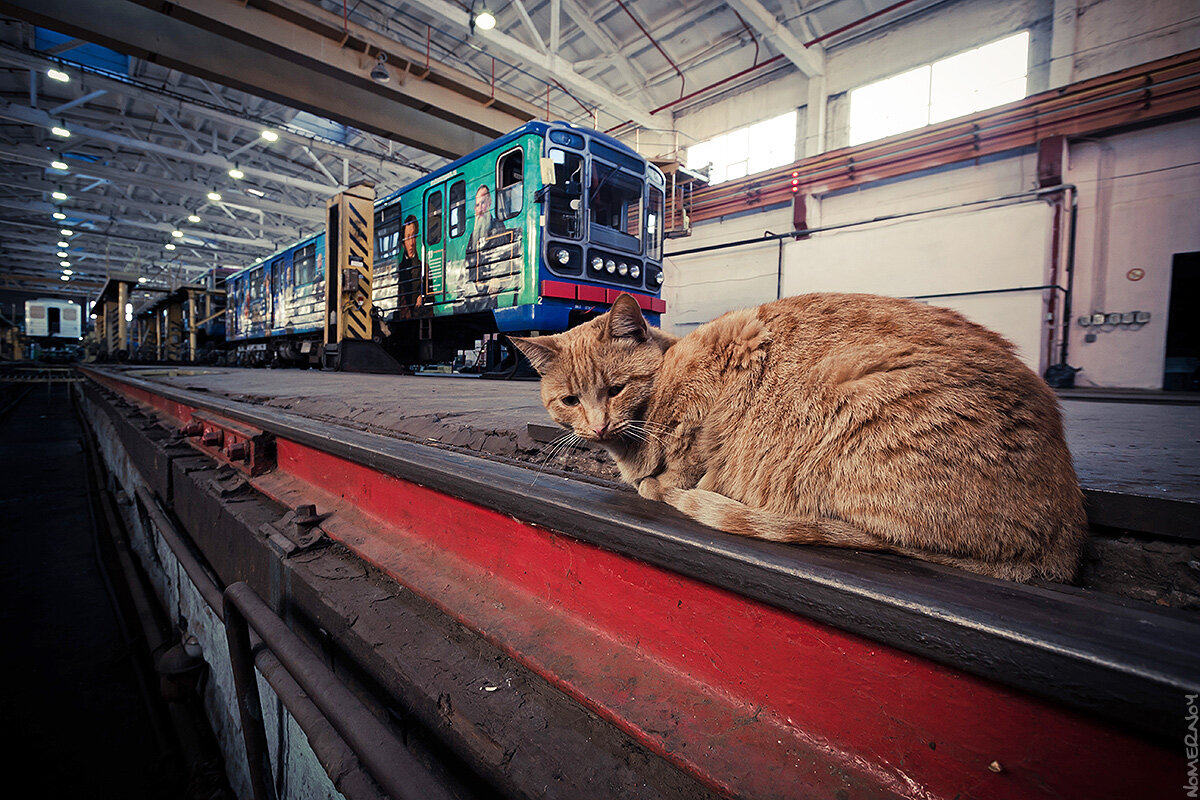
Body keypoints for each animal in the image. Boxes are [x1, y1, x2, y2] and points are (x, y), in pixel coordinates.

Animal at [511, 293, 1094, 582]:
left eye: (616, 388)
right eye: (569, 400)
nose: (596, 425)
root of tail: (1067, 536)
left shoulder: (735, 349)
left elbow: (689, 456)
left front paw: (664, 480)